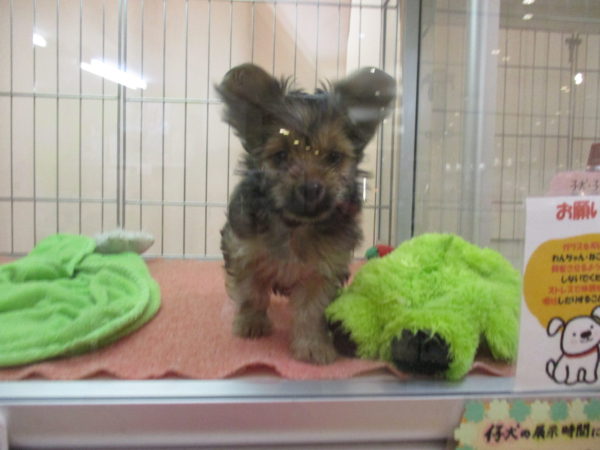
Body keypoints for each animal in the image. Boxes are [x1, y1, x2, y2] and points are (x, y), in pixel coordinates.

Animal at [217, 64, 395, 364]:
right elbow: (252, 291)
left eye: (334, 157)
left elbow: (312, 309)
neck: (296, 226)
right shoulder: (244, 250)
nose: (311, 188)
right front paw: (251, 322)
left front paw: (313, 345)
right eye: (281, 156)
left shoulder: (323, 269)